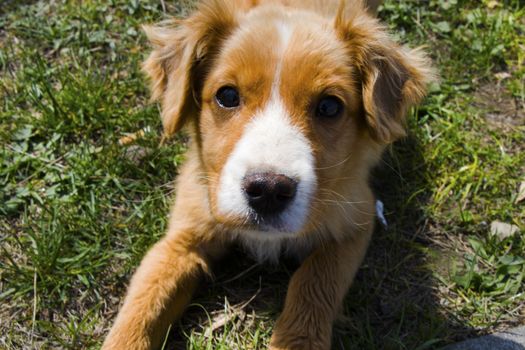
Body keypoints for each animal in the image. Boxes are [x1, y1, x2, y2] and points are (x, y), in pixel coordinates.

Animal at [103, 1, 434, 348]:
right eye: (227, 95)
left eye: (329, 106)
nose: (268, 191)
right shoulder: (184, 234)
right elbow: (143, 305)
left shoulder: (354, 220)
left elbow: (313, 284)